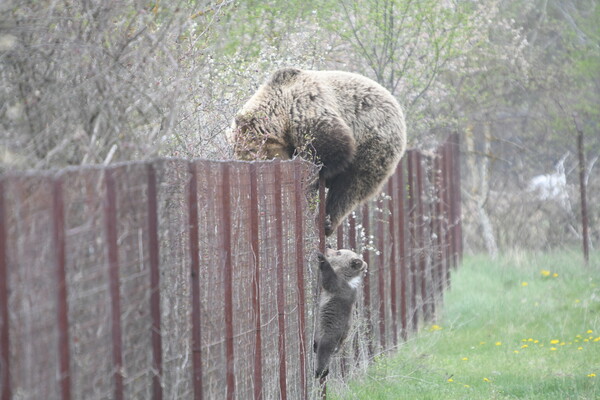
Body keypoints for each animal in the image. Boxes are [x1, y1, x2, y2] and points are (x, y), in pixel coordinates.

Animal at [231, 67, 408, 236]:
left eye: (258, 156)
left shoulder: (307, 109)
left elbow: (331, 148)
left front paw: (310, 177)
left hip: (374, 140)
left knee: (351, 185)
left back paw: (327, 221)